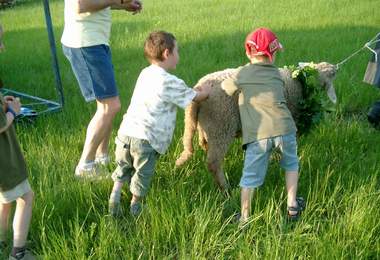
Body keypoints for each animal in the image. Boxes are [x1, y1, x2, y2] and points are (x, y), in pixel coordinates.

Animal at [174, 61, 336, 191]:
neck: (299, 83)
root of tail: (197, 91)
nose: (335, 67)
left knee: (205, 146)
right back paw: (226, 189)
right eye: (329, 74)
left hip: (206, 127)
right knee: (213, 162)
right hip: (222, 124)